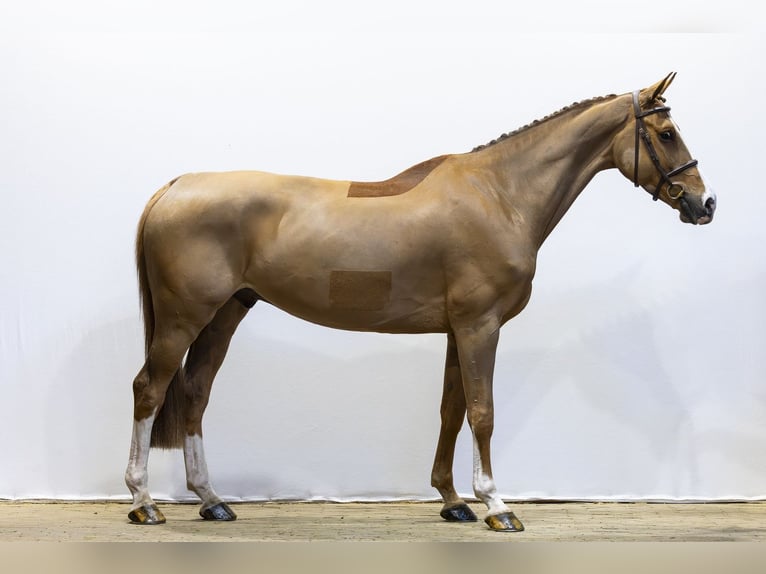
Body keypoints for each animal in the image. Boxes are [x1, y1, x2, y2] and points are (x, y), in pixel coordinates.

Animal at [125, 73, 716, 531]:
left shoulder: (458, 329)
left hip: (226, 313)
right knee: (149, 389)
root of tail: (174, 187)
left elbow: (452, 409)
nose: (703, 203)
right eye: (666, 133)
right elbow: (483, 412)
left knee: (195, 393)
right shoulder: (481, 326)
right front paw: (497, 505)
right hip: (183, 318)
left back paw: (211, 500)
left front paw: (453, 501)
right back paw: (144, 501)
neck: (500, 194)